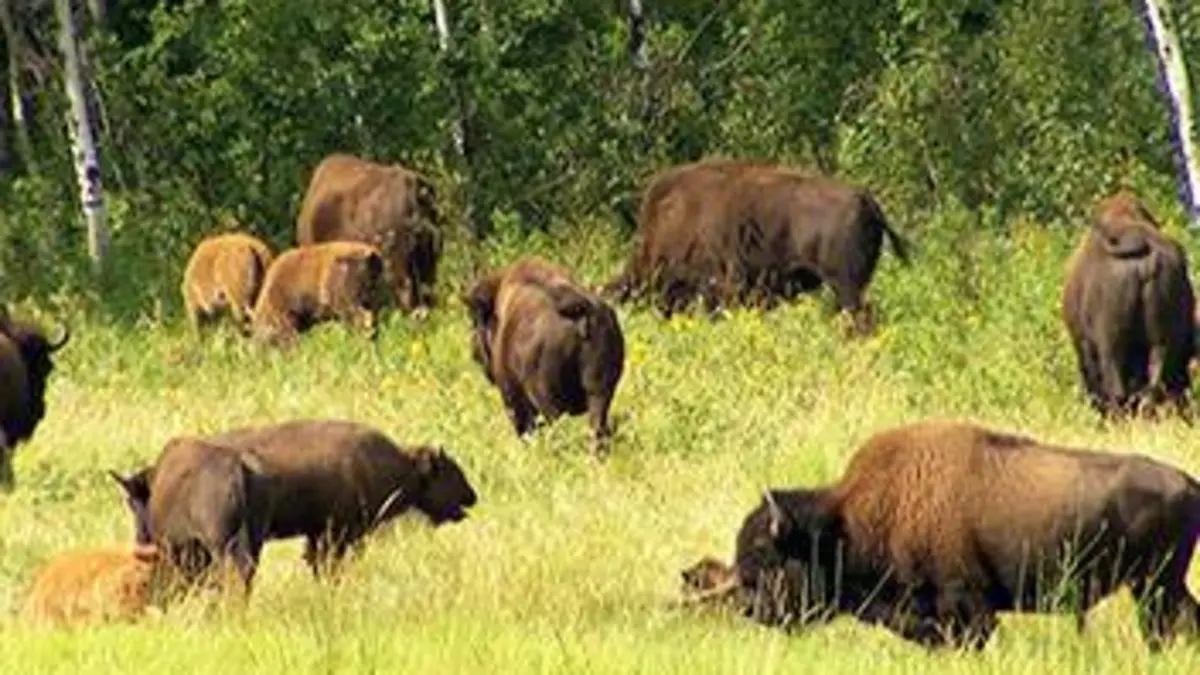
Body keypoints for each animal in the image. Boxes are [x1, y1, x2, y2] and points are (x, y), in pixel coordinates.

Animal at [464, 256, 626, 451]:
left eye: (475, 320)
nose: (474, 352)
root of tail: (580, 308)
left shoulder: (512, 395)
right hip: (599, 393)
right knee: (598, 428)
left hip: (546, 399)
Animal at [728, 420, 1200, 650]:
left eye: (765, 554)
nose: (748, 607)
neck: (844, 523)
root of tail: (1188, 483)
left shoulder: (967, 607)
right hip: (1159, 587)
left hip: (1155, 586)